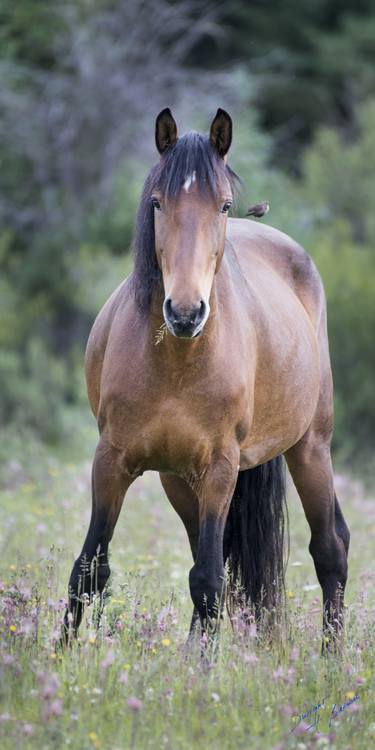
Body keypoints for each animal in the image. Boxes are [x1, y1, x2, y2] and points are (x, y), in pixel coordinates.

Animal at [62, 107, 352, 652]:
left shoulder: (220, 467)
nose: (185, 311)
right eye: (157, 202)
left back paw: (333, 658)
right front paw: (58, 656)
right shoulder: (111, 460)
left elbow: (210, 580)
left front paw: (203, 669)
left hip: (310, 447)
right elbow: (90, 568)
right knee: (205, 551)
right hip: (178, 478)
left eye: (223, 205)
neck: (178, 362)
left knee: (331, 547)